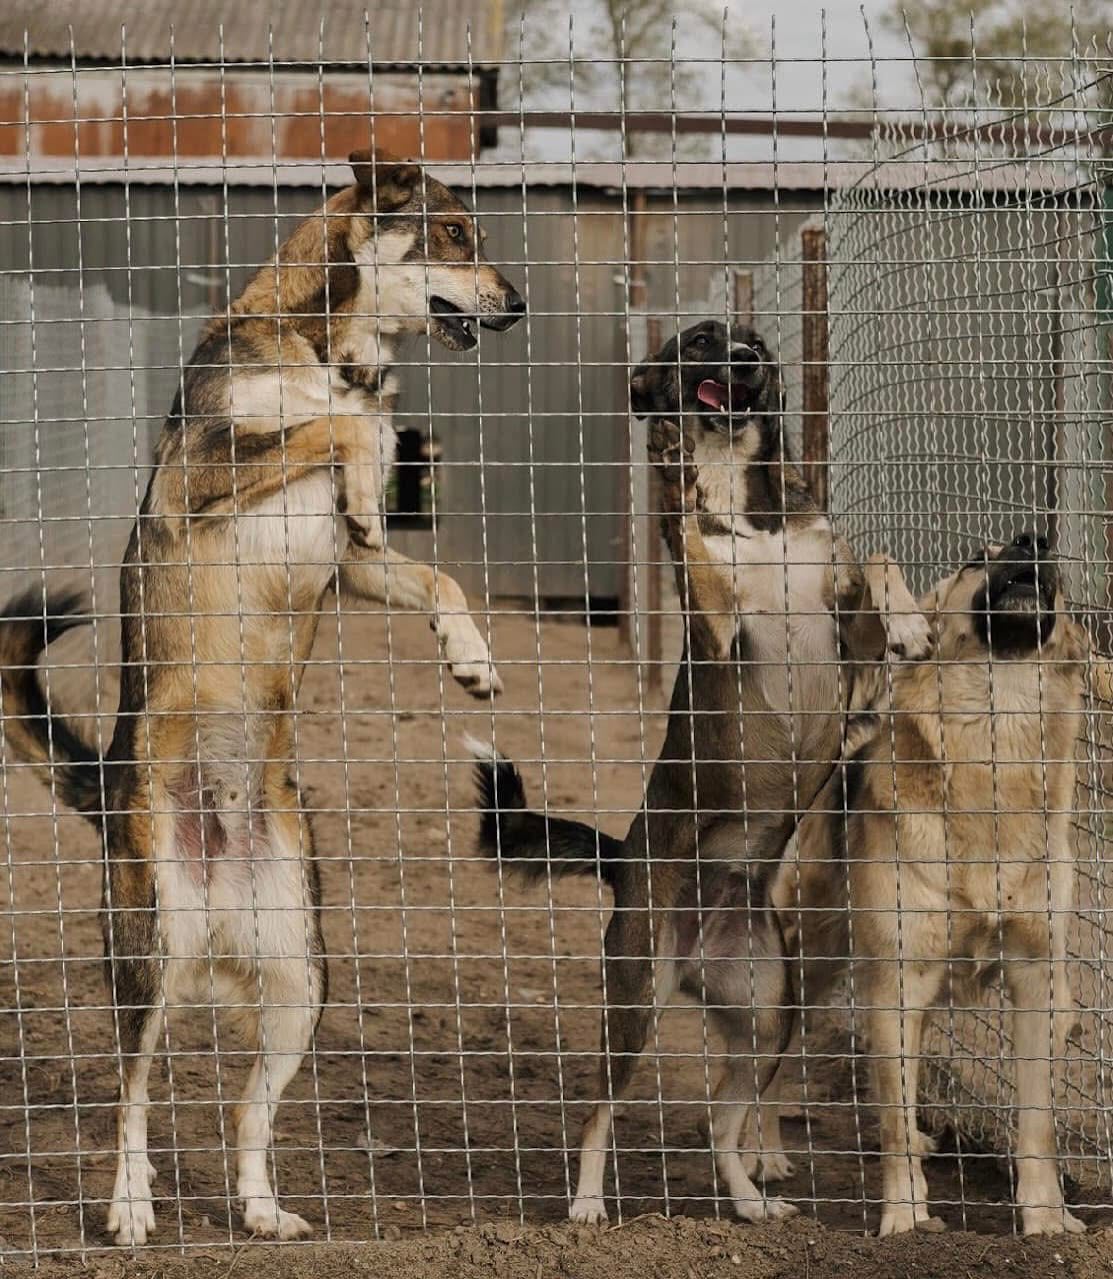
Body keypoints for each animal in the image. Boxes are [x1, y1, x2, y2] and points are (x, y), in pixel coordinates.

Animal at [0, 149, 523, 1245]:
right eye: (455, 234)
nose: (519, 305)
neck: (326, 346)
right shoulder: (205, 468)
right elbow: (336, 427)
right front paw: (366, 466)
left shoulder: (354, 569)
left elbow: (433, 574)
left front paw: (471, 659)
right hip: (150, 947)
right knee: (134, 1096)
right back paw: (129, 1207)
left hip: (300, 981)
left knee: (249, 1107)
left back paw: (262, 1205)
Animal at [470, 319, 931, 1223]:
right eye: (700, 340)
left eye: (751, 342)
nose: (747, 359)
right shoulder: (718, 631)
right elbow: (688, 535)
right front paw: (674, 474)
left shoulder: (840, 623)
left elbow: (878, 559)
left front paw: (907, 620)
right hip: (634, 995)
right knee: (598, 1111)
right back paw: (586, 1205)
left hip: (766, 1014)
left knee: (724, 1122)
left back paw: (751, 1200)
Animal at [775, 531, 1103, 1236]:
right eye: (978, 559)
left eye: (1051, 564)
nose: (1035, 539)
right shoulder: (895, 984)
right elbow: (894, 1123)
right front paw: (904, 1218)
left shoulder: (1037, 982)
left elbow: (1037, 1122)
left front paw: (1045, 1217)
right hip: (806, 962)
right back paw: (761, 1157)